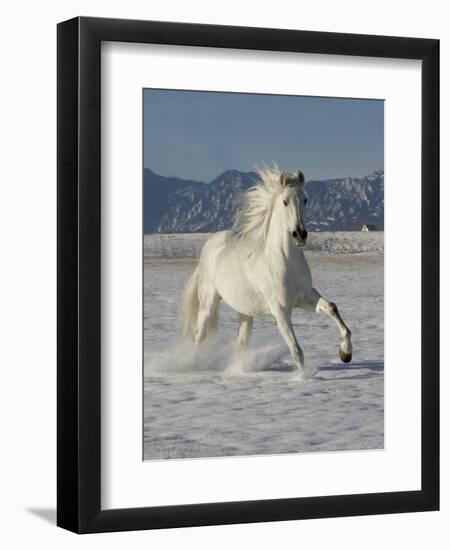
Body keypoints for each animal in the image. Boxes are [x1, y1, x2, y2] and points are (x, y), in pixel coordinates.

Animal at [178, 165, 352, 380]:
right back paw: (195, 366)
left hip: (245, 311)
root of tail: (209, 245)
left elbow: (332, 308)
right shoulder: (280, 310)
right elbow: (296, 350)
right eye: (285, 201)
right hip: (208, 303)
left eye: (305, 199)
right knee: (199, 335)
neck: (285, 262)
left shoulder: (306, 298)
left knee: (241, 342)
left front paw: (345, 353)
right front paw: (303, 378)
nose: (300, 234)